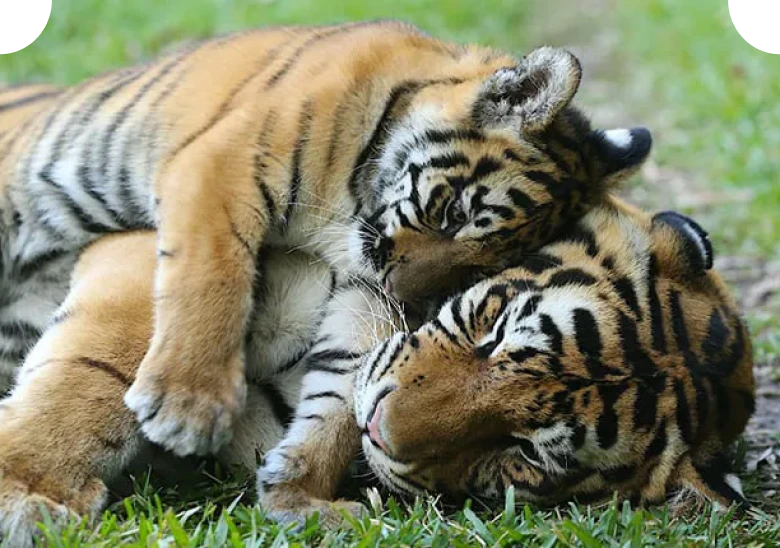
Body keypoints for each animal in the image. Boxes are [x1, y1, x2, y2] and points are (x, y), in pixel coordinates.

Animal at [0, 21, 653, 465]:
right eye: (454, 214)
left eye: (480, 266)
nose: (401, 288)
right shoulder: (221, 166)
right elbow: (212, 277)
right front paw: (189, 406)